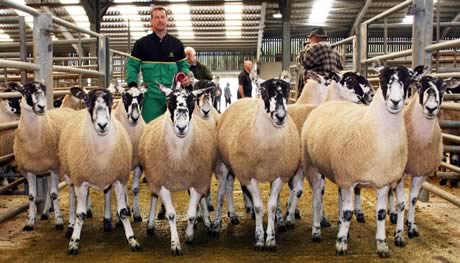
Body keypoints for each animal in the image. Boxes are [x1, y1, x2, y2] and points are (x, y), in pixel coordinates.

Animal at [9, 81, 75, 232]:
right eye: (25, 90)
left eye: (44, 90)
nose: (41, 107)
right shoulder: (29, 170)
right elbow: (32, 196)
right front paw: (30, 222)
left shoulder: (54, 167)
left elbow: (54, 194)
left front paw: (59, 221)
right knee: (49, 187)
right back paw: (45, 213)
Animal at [60, 88, 141, 256]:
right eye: (87, 100)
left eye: (110, 101)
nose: (102, 125)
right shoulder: (80, 182)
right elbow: (80, 214)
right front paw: (74, 242)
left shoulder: (117, 179)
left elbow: (123, 212)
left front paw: (132, 240)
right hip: (70, 176)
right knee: (72, 200)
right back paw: (71, 225)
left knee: (105, 194)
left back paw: (106, 220)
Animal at [138, 83, 216, 256]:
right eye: (169, 101)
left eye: (192, 102)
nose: (181, 127)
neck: (179, 158)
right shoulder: (162, 182)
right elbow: (171, 215)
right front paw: (175, 244)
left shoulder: (196, 180)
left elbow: (192, 214)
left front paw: (189, 236)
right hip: (154, 175)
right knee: (154, 197)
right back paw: (150, 225)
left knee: (202, 199)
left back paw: (207, 222)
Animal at [217, 75, 300, 252]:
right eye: (264, 91)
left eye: (287, 91)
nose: (280, 116)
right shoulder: (248, 175)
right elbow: (259, 206)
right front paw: (259, 239)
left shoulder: (279, 175)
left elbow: (272, 205)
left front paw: (271, 239)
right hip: (228, 165)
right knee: (226, 190)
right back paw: (227, 219)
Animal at [302, 65, 424, 258]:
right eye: (382, 78)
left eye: (408, 79)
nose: (395, 101)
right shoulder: (347, 179)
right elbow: (346, 212)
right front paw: (341, 243)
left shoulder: (382, 181)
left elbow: (380, 213)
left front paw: (382, 244)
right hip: (313, 167)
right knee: (316, 200)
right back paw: (316, 230)